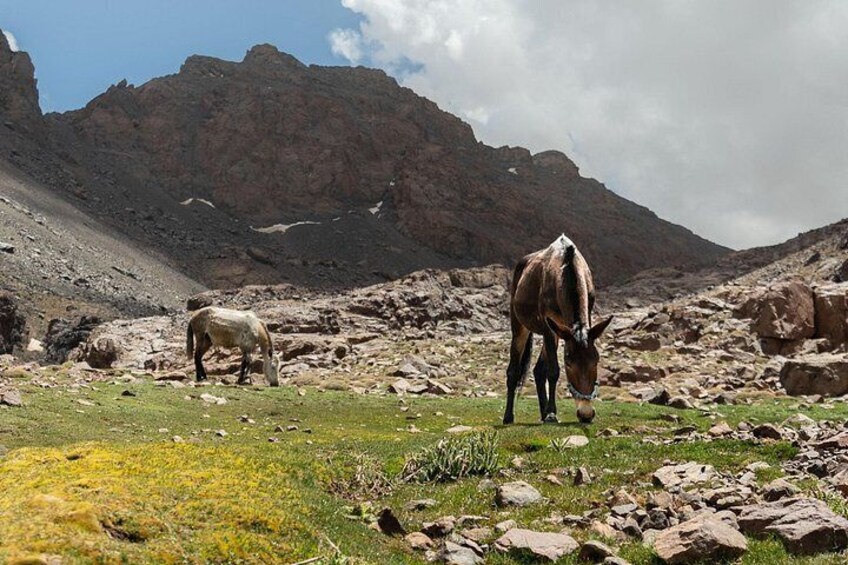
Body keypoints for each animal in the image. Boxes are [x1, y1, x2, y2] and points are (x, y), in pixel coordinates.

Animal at [503, 235, 613, 425]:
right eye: (568, 361)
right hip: (519, 326)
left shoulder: (583, 319)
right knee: (514, 370)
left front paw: (549, 413)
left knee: (538, 370)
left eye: (596, 360)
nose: (585, 414)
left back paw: (542, 413)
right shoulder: (549, 326)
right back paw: (509, 417)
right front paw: (552, 414)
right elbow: (553, 371)